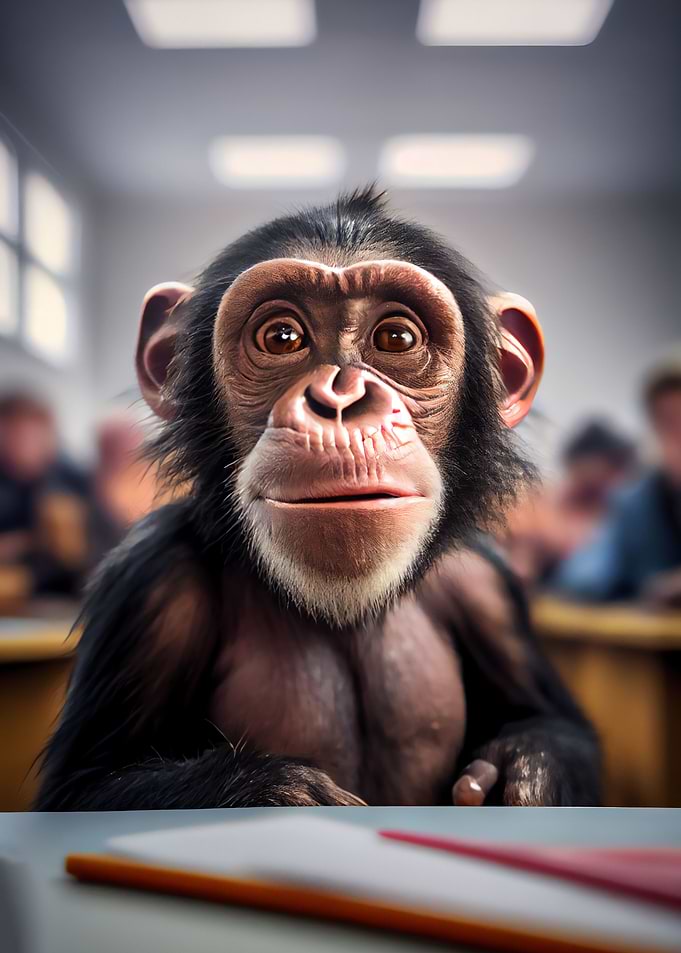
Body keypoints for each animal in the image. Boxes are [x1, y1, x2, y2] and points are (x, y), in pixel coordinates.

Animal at [35, 188, 601, 810]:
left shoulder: (487, 585)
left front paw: (523, 770)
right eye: (282, 338)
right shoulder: (149, 583)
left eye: (396, 338)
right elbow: (87, 785)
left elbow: (550, 721)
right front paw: (286, 794)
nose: (339, 399)